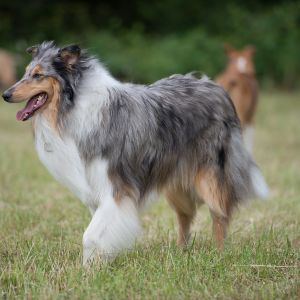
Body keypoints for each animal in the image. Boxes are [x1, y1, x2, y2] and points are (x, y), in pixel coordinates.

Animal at [1, 42, 270, 264]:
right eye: (25, 72)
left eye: (38, 75)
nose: (5, 94)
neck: (70, 109)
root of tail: (214, 86)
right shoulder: (96, 189)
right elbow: (96, 231)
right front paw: (95, 266)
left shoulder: (115, 188)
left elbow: (91, 235)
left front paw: (87, 272)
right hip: (175, 180)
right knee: (186, 216)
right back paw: (181, 253)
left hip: (210, 176)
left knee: (220, 215)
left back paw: (219, 255)